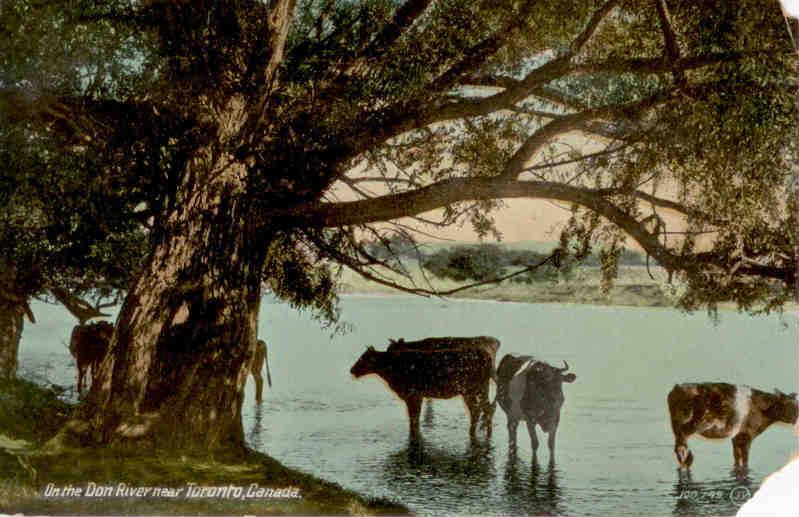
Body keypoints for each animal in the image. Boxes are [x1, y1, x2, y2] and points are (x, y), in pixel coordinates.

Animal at [350, 342, 494, 440]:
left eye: (363, 358)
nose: (352, 370)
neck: (390, 371)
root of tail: (487, 357)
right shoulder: (418, 396)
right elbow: (415, 419)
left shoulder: (413, 395)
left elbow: (413, 419)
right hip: (479, 389)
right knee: (484, 408)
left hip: (470, 389)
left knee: (479, 409)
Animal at [664, 380, 796, 470]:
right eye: (793, 407)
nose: (796, 419)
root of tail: (678, 387)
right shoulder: (747, 435)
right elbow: (745, 459)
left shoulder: (736, 437)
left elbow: (737, 458)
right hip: (694, 423)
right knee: (682, 442)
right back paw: (687, 460)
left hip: (676, 425)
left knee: (678, 444)